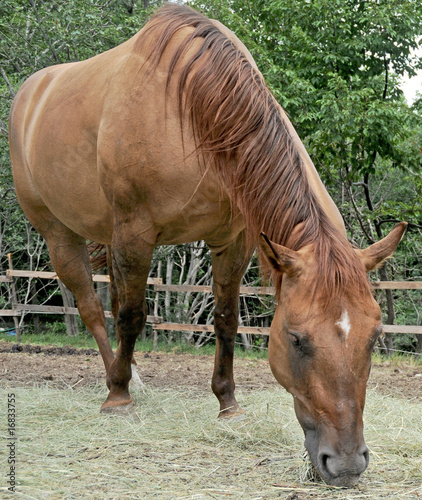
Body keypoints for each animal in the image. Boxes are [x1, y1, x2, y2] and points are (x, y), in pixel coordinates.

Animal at [9, 2, 406, 488]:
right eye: (296, 340)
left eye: (375, 337)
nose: (347, 464)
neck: (192, 113)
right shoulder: (136, 234)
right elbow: (131, 316)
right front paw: (118, 401)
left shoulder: (230, 241)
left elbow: (225, 321)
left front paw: (228, 405)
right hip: (60, 233)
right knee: (92, 307)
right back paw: (117, 384)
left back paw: (131, 376)